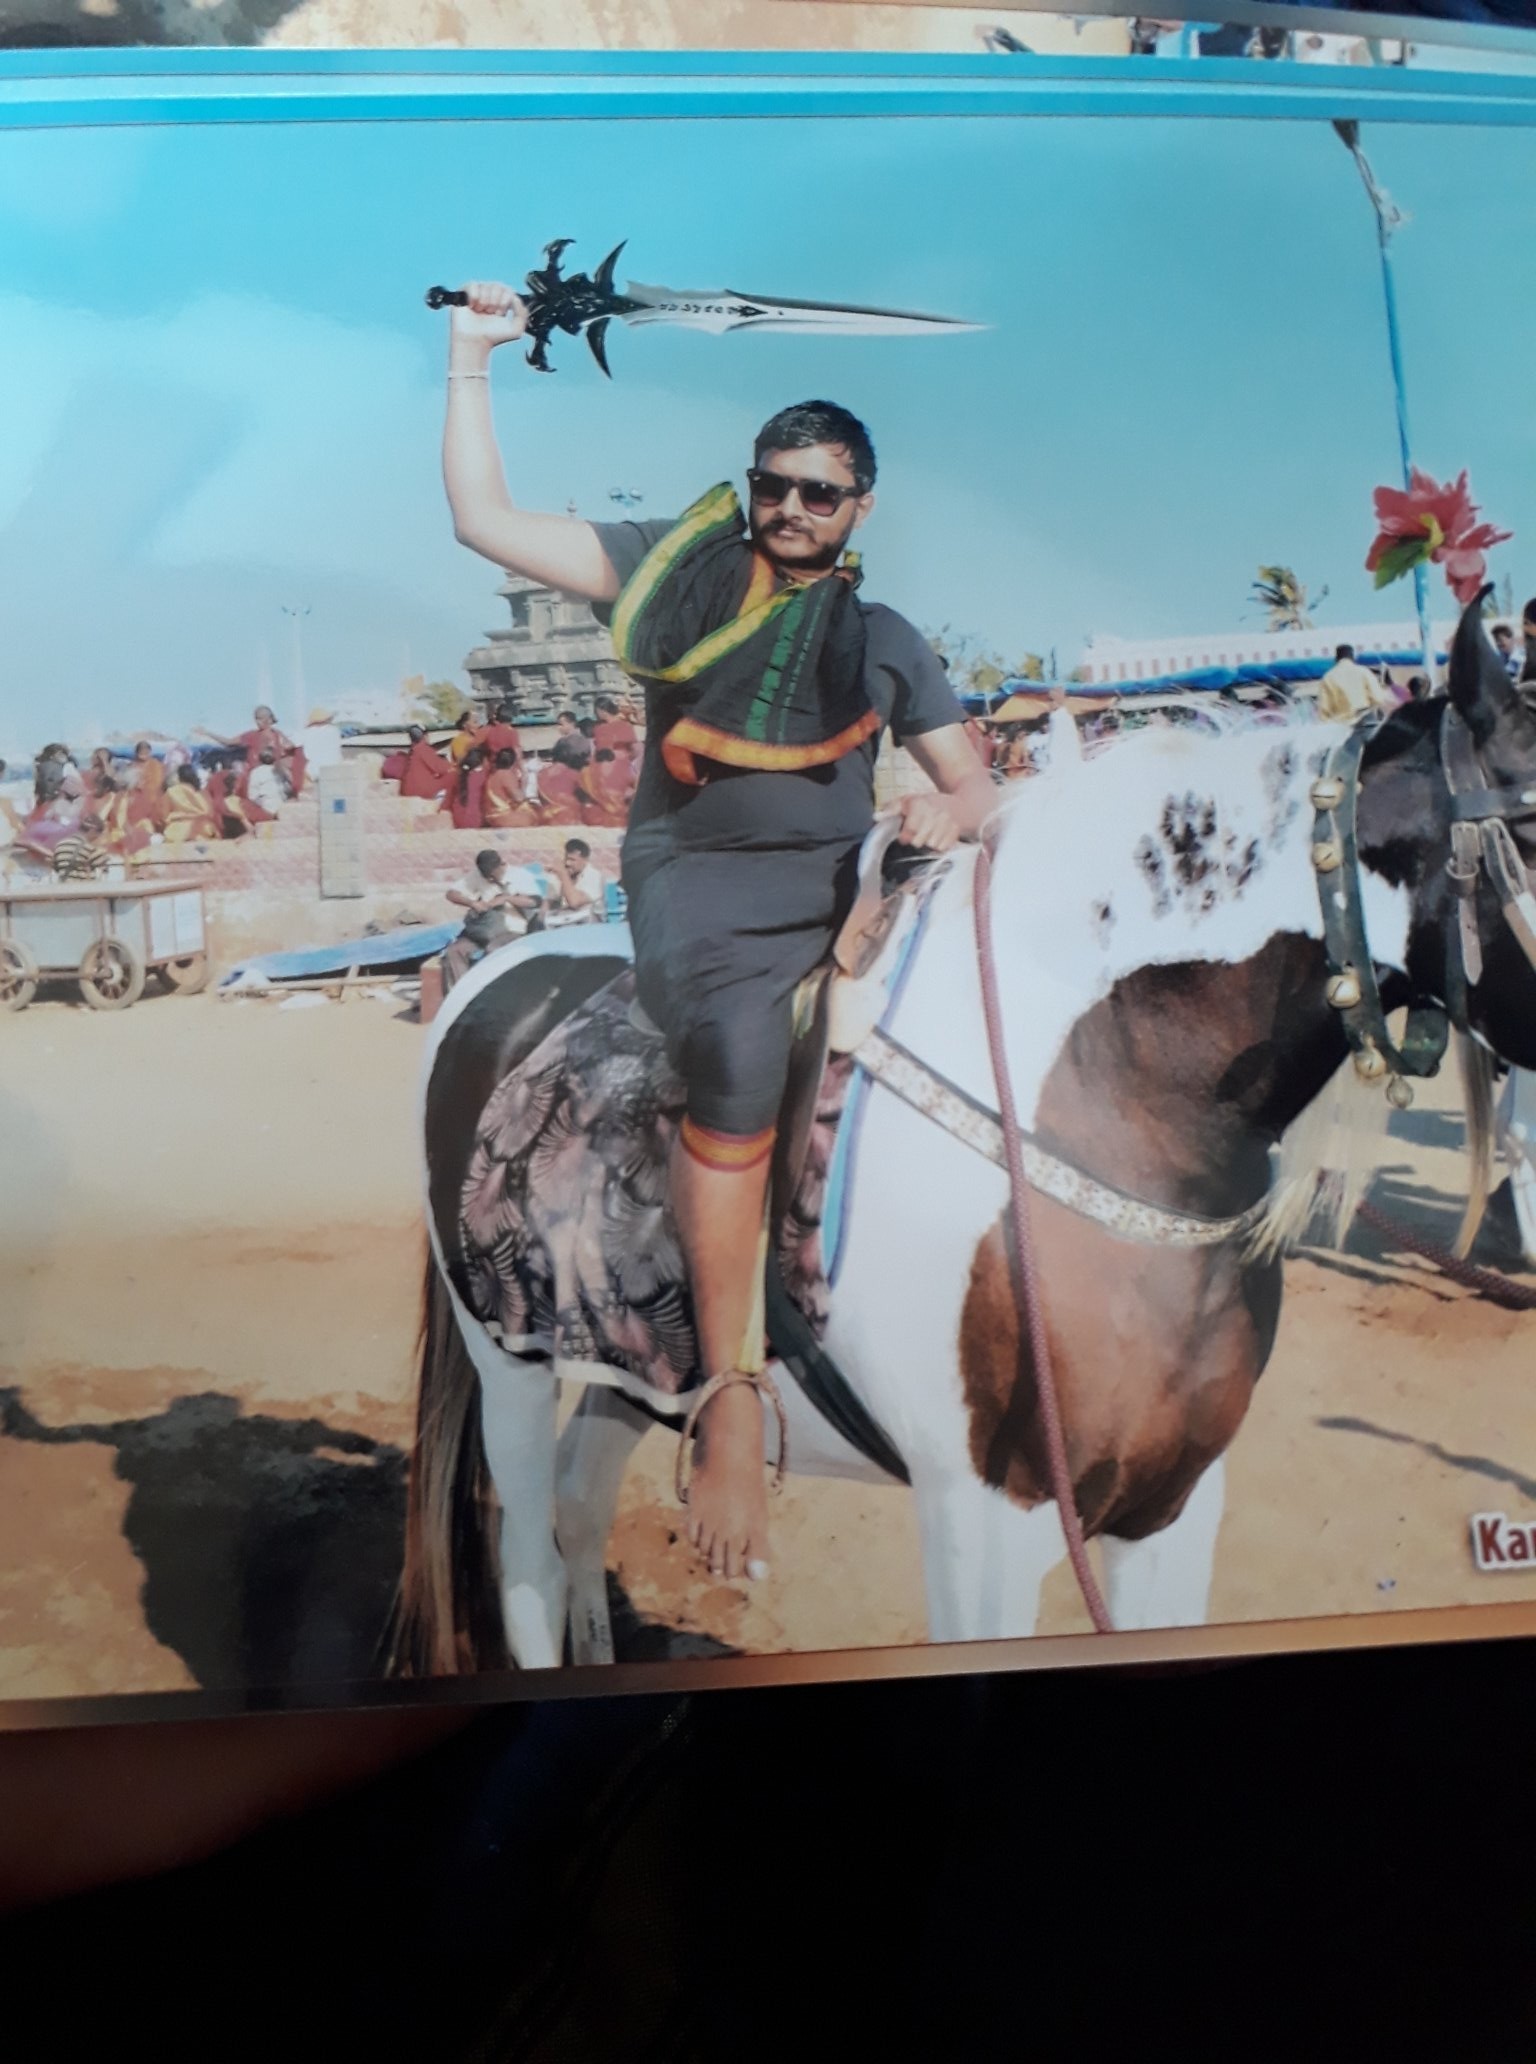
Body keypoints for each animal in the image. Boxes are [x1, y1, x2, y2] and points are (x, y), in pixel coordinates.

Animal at [398, 598, 1536, 1675]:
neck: (1112, 1106)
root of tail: (503, 972)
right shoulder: (984, 1517)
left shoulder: (1174, 1507)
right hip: (508, 1360)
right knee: (531, 1563)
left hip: (638, 1368)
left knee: (582, 1504)